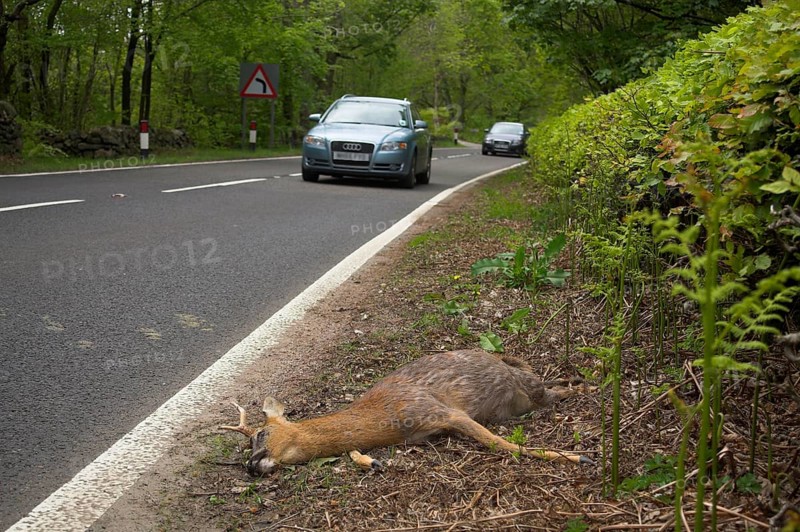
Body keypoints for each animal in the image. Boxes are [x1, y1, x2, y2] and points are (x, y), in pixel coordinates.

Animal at [220, 348, 593, 476]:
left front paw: (580, 457)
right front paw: (372, 462)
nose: (250, 465)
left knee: (552, 389)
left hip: (527, 386)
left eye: (260, 433)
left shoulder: (439, 410)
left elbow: (501, 444)